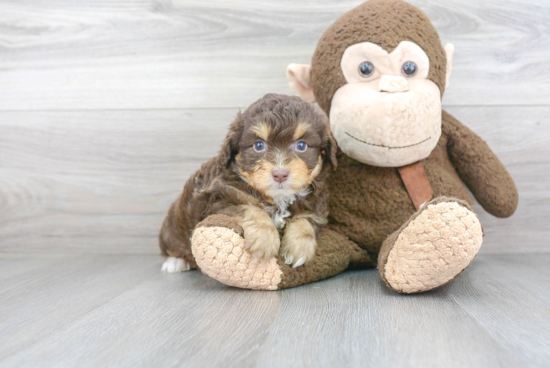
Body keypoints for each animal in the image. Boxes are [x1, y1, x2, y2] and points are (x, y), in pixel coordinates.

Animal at [160, 94, 338, 274]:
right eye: (259, 145)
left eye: (301, 145)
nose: (280, 174)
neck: (277, 198)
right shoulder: (219, 199)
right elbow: (252, 209)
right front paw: (264, 240)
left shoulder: (316, 204)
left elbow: (305, 220)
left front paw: (300, 248)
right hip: (173, 228)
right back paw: (175, 262)